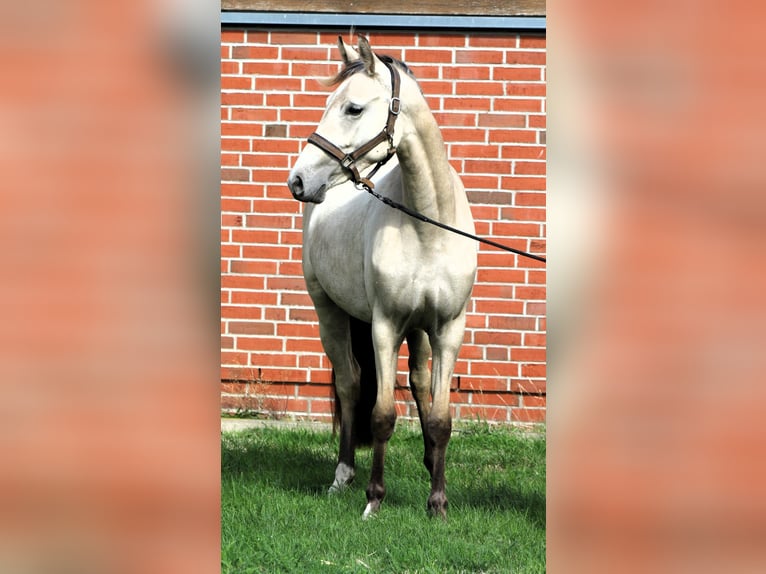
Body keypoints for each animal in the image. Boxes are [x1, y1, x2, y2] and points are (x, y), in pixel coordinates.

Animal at [287, 35, 477, 519]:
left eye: (353, 108)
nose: (298, 181)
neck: (429, 226)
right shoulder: (385, 327)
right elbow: (382, 415)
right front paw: (374, 499)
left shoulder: (447, 330)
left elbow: (441, 417)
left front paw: (437, 502)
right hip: (329, 312)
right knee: (351, 384)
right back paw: (343, 476)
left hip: (420, 332)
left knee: (418, 383)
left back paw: (428, 462)